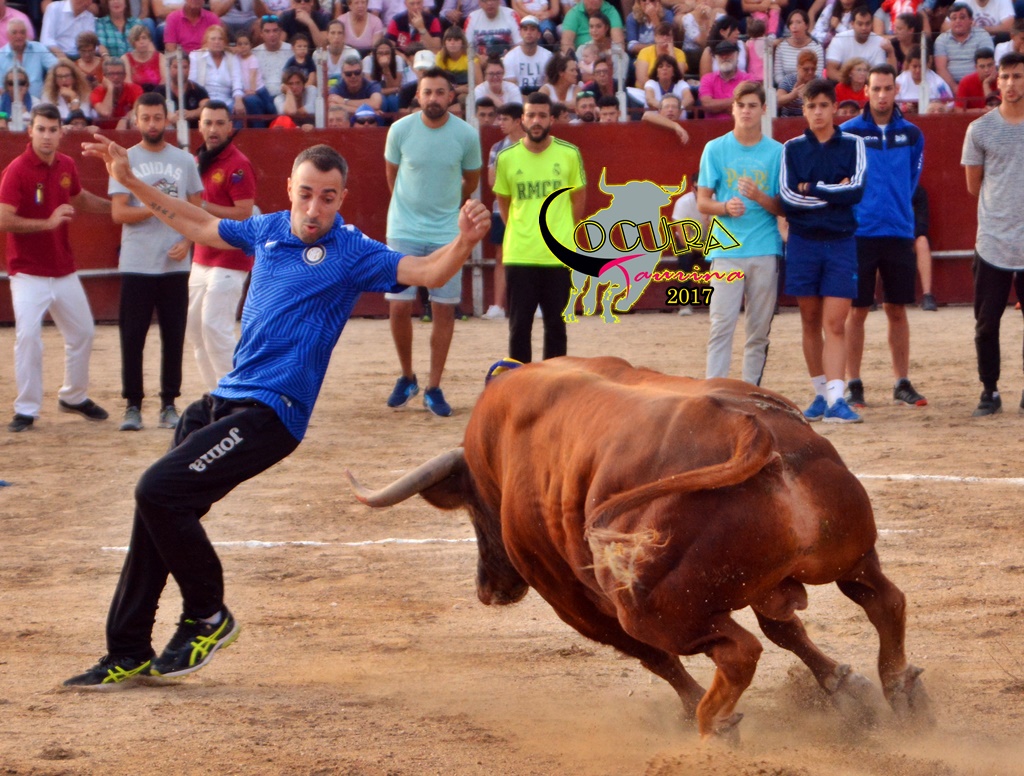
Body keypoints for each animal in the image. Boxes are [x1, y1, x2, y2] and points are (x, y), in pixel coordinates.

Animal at [348, 357, 932, 740]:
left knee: (733, 651)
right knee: (883, 599)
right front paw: (843, 686)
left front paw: (691, 707)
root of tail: (753, 435)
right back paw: (900, 691)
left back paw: (713, 726)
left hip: (650, 607)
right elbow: (788, 630)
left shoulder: (571, 600)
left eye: (473, 510)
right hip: (849, 553)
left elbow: (656, 659)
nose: (488, 590)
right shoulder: (771, 585)